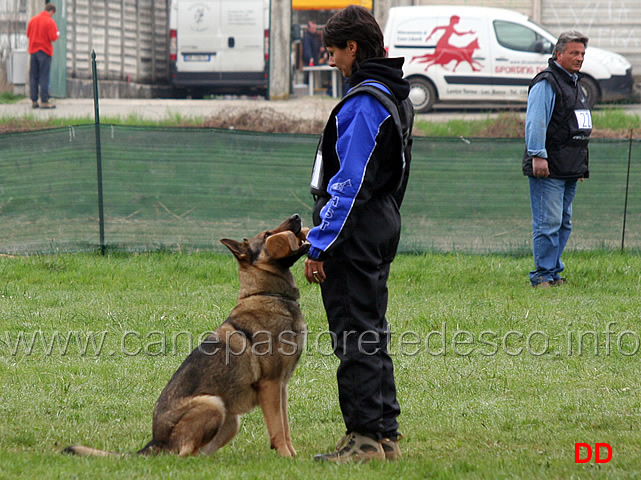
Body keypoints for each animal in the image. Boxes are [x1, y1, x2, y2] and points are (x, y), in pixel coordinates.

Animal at [66, 214, 312, 458]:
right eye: (268, 234)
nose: (297, 216)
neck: (268, 294)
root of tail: (156, 441)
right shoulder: (271, 385)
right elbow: (277, 428)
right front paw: (286, 457)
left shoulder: (281, 387)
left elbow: (285, 426)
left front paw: (293, 457)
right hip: (212, 404)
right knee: (183, 455)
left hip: (231, 421)